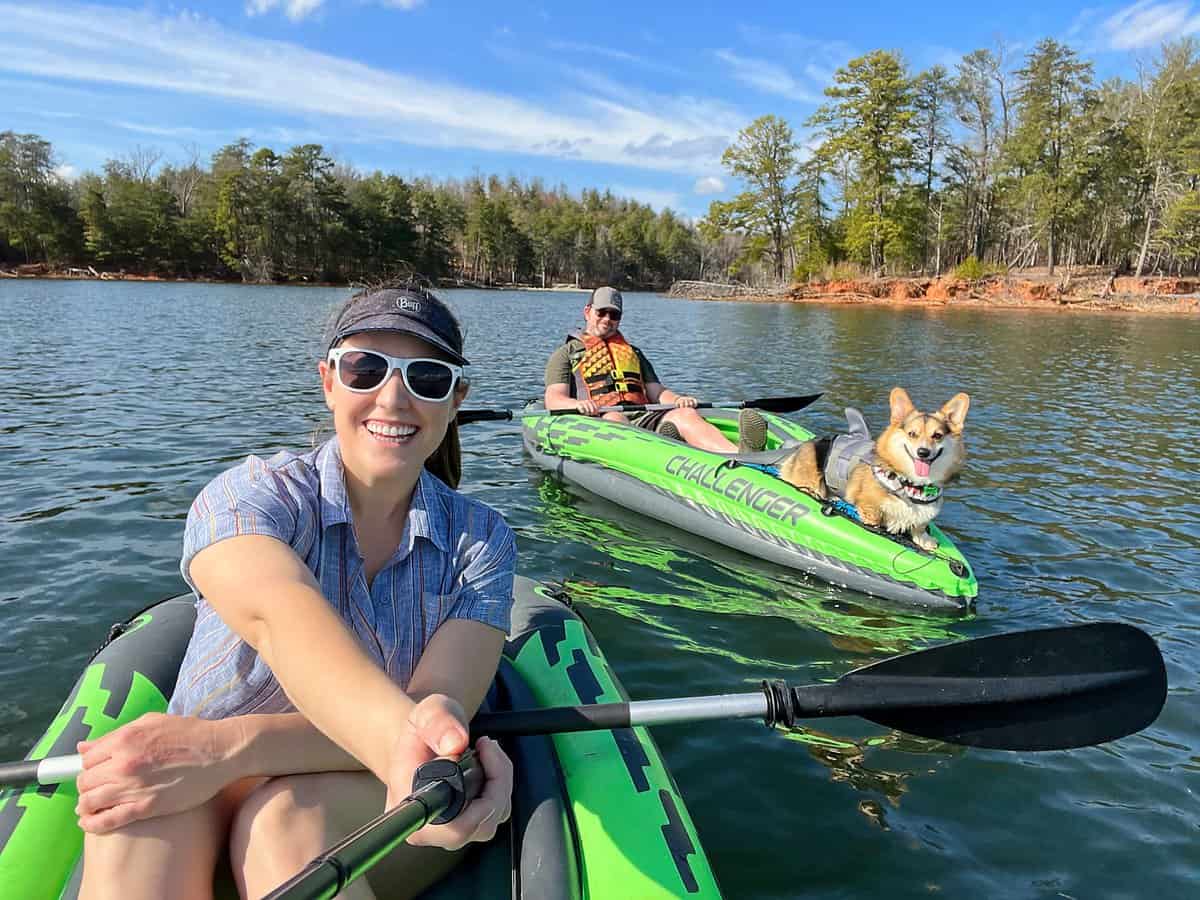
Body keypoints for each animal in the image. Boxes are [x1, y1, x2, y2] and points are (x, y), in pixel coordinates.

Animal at [772, 388, 969, 554]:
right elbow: (874, 520)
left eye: (937, 435)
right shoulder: (870, 508)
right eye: (912, 434)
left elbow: (920, 526)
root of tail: (800, 446)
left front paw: (925, 540)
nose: (923, 452)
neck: (910, 484)